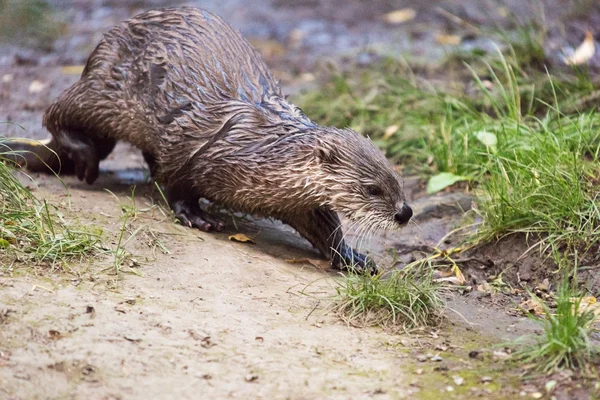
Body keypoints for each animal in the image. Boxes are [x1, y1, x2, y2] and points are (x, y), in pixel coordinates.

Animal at [10, 7, 412, 272]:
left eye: (397, 181)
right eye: (372, 189)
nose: (405, 212)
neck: (256, 151)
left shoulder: (300, 202)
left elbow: (325, 227)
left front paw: (351, 256)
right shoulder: (188, 141)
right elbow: (176, 182)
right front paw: (195, 216)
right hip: (103, 92)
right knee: (57, 111)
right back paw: (84, 160)